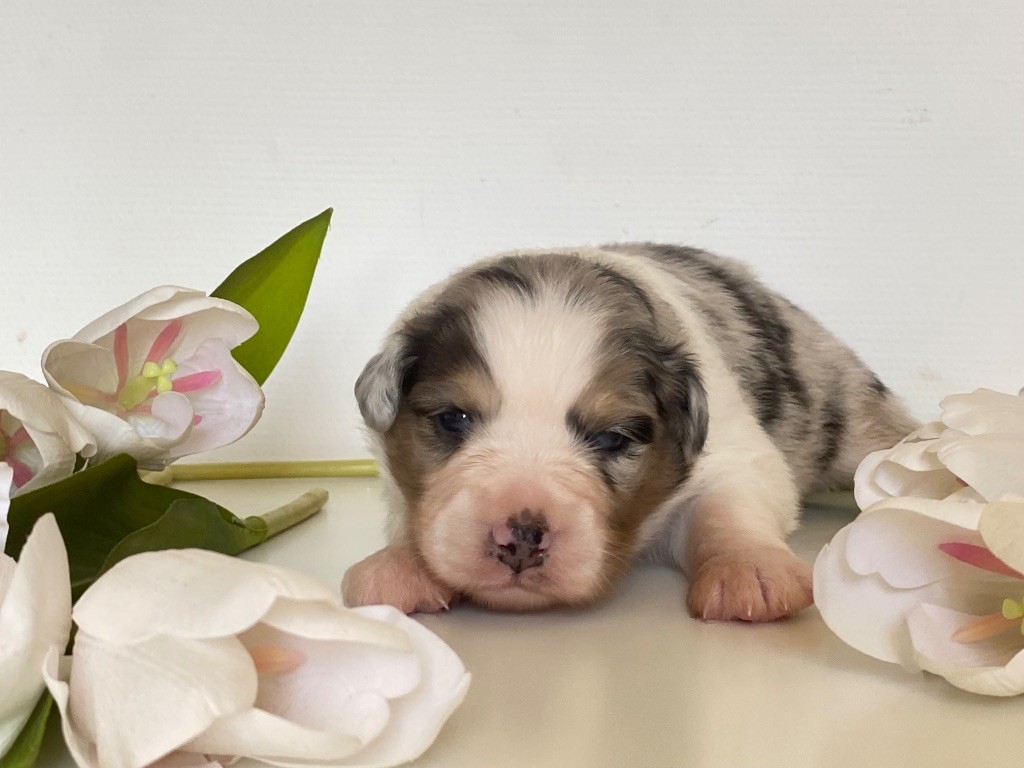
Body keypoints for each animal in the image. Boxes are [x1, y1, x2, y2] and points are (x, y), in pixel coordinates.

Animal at [342, 245, 916, 621]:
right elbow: (411, 514)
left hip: (857, 418)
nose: (522, 536)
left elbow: (727, 506)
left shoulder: (735, 452)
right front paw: (398, 565)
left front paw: (750, 571)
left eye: (613, 438)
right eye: (452, 419)